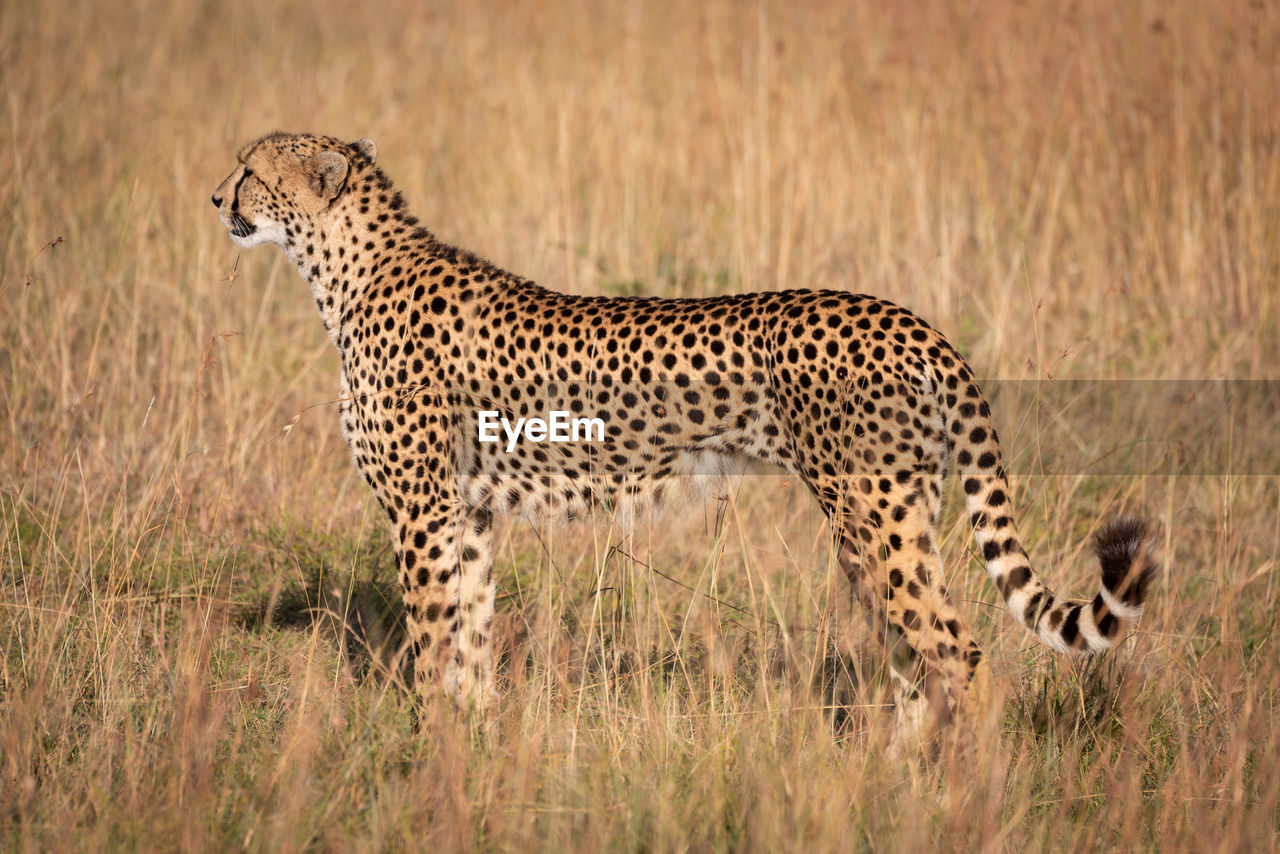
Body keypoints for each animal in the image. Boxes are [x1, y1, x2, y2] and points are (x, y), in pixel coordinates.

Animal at [212, 131, 1162, 742]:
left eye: (250, 168)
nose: (215, 197)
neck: (346, 270)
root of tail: (906, 317)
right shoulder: (468, 514)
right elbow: (469, 634)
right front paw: (473, 742)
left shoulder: (423, 516)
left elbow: (434, 635)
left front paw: (427, 749)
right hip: (893, 519)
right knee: (915, 658)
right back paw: (892, 780)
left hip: (872, 515)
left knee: (958, 654)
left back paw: (961, 791)